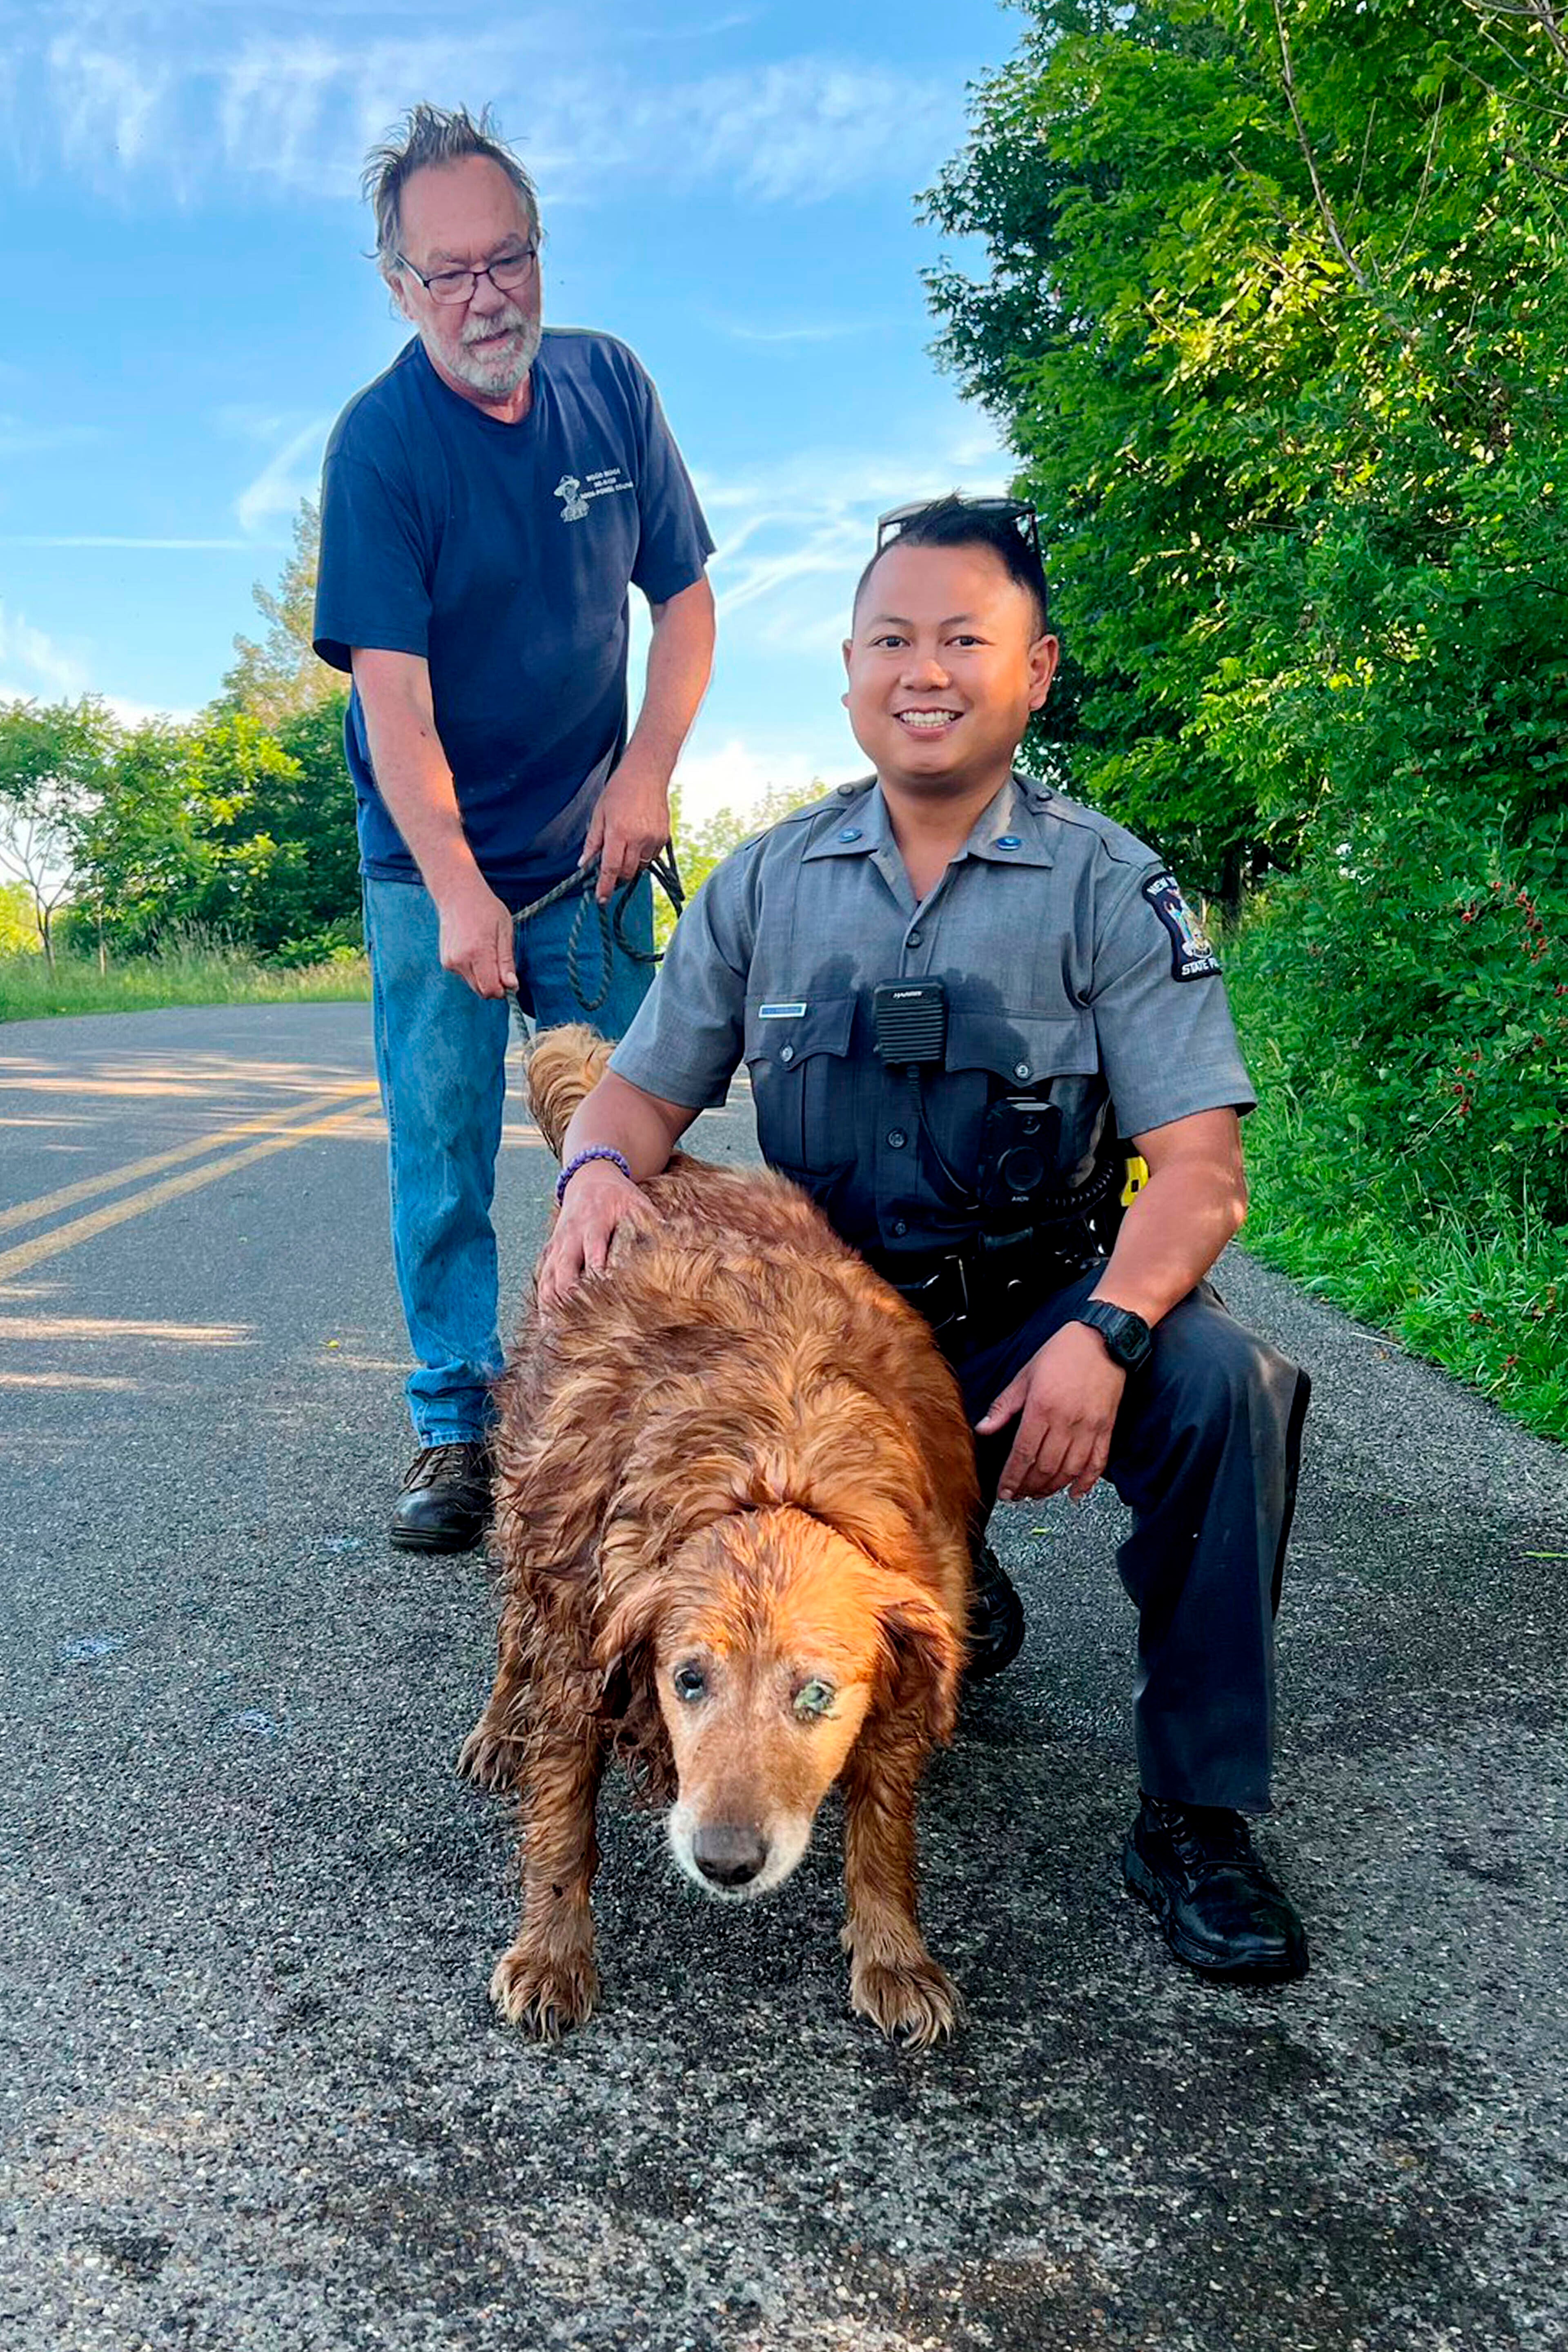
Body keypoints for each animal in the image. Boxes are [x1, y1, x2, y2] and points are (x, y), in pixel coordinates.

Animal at [463, 1025, 982, 2041]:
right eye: (688, 1680)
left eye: (816, 1696)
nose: (726, 1861)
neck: (773, 1465)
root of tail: (665, 1168)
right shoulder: (584, 1633)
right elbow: (563, 1818)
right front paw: (552, 1951)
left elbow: (884, 1825)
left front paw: (894, 1953)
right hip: (530, 1504)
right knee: (515, 1630)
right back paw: (499, 1729)